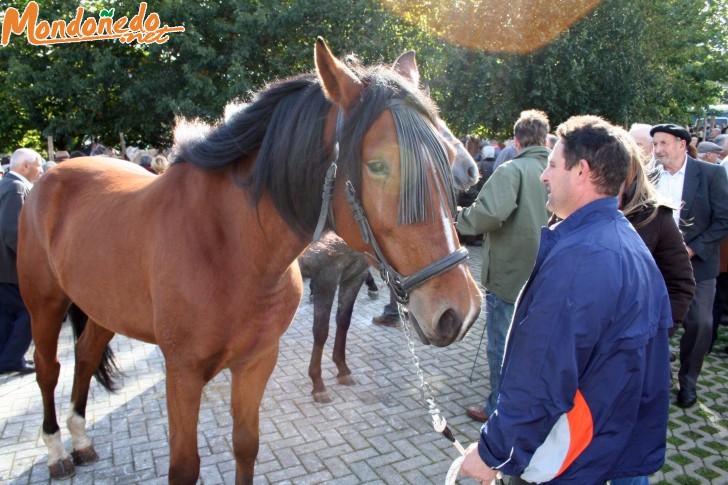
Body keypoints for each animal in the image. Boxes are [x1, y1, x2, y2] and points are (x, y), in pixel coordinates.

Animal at [17, 38, 480, 484]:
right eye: (379, 165)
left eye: (445, 158)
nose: (460, 310)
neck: (231, 250)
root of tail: (53, 175)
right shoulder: (182, 374)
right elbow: (184, 467)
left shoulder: (257, 361)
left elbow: (246, 447)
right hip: (45, 306)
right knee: (48, 369)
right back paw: (58, 451)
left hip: (103, 309)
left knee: (85, 356)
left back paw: (81, 440)